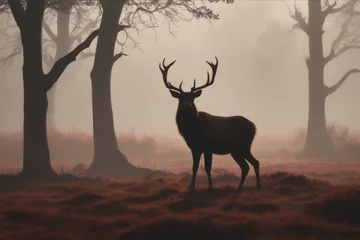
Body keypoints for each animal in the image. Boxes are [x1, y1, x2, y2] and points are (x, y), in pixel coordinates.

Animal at [158, 56, 262, 191]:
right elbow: (194, 167)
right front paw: (192, 187)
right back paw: (246, 187)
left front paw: (210, 187)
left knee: (251, 164)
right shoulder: (194, 148)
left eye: (192, 98)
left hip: (243, 146)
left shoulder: (207, 146)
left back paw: (252, 186)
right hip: (237, 149)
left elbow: (207, 168)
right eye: (180, 98)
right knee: (249, 165)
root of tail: (254, 127)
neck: (193, 130)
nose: (187, 106)